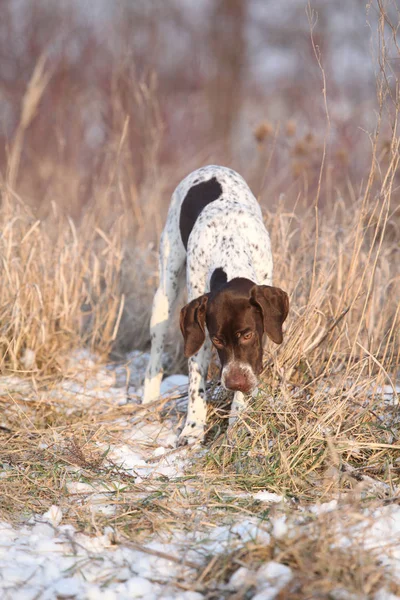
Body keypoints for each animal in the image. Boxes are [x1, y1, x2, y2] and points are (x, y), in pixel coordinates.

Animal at [142, 165, 290, 446]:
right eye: (218, 340)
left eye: (247, 334)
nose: (235, 383)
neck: (229, 246)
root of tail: (209, 168)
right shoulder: (197, 332)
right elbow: (195, 386)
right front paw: (192, 429)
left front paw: (238, 423)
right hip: (165, 292)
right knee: (155, 353)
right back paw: (149, 399)